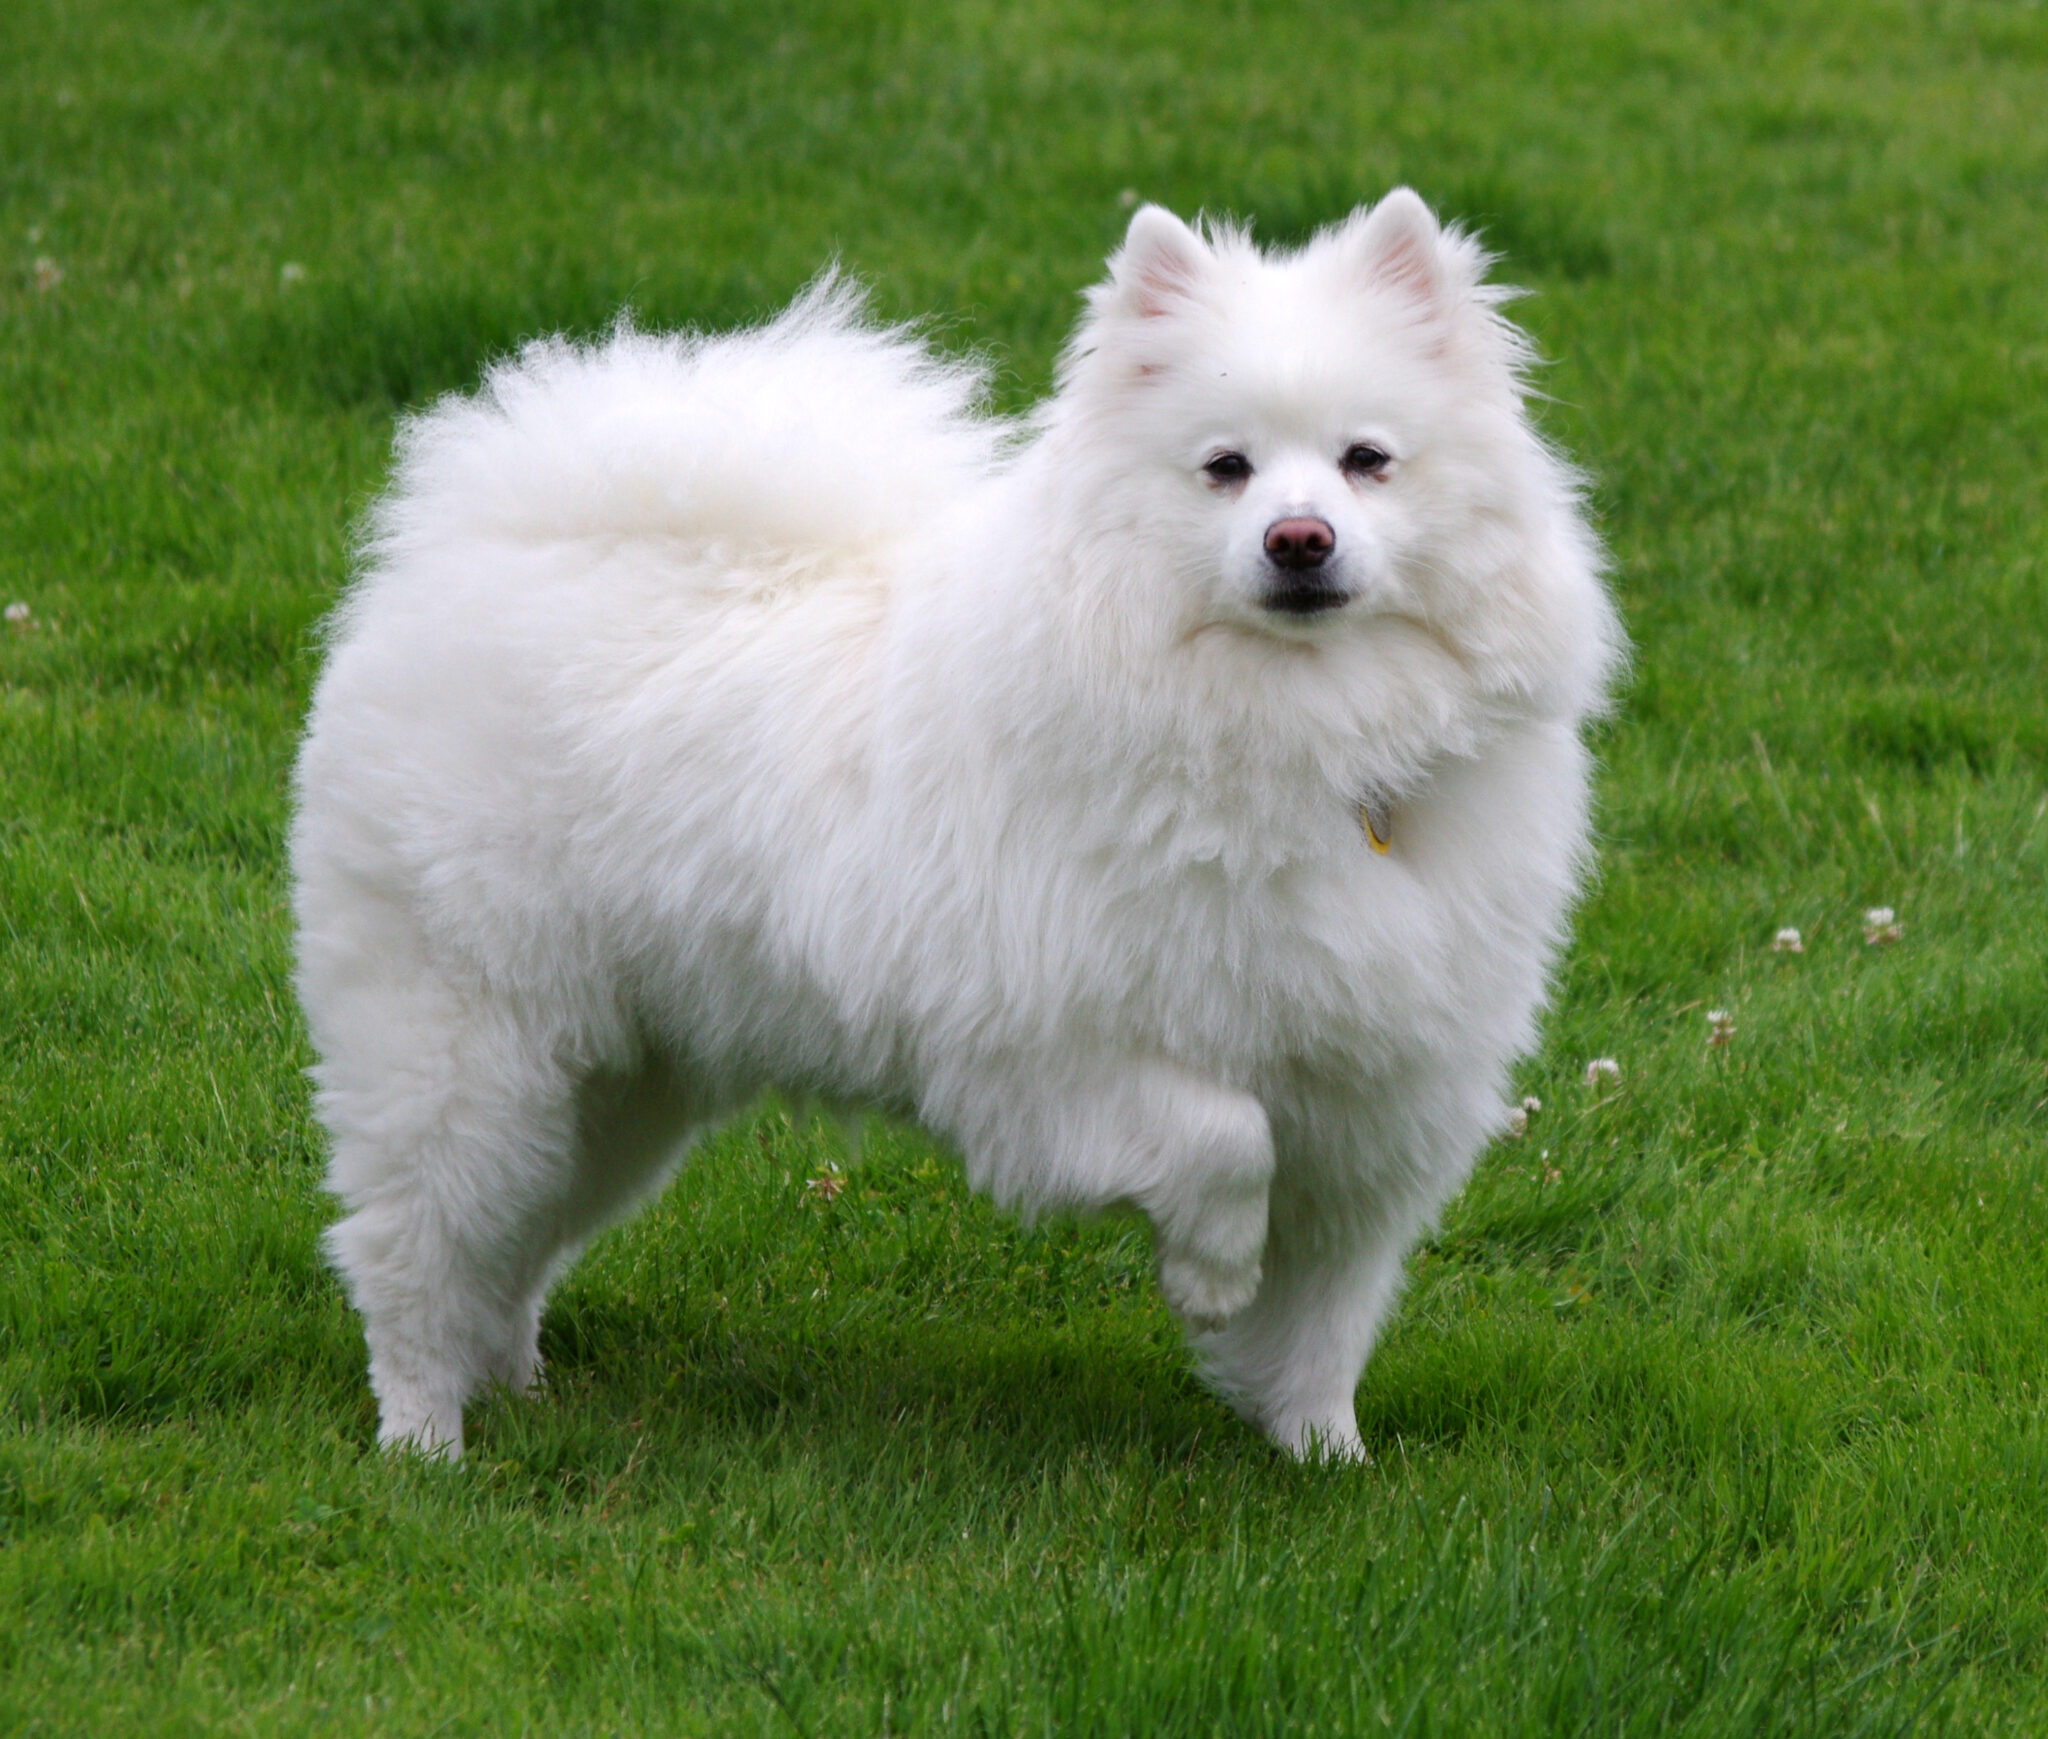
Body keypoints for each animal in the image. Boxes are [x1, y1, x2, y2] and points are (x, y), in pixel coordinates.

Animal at [296, 190, 1622, 1458]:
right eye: (1225, 469)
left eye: (1365, 461)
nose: (1300, 539)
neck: (1302, 728)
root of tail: (468, 548)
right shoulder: (1051, 1051)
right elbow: (1224, 1142)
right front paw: (1207, 1275)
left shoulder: (1370, 1102)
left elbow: (1323, 1315)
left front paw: (1322, 1456)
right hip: (468, 1050)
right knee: (413, 1251)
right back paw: (426, 1437)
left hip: (617, 1083)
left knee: (516, 1247)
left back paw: (514, 1383)